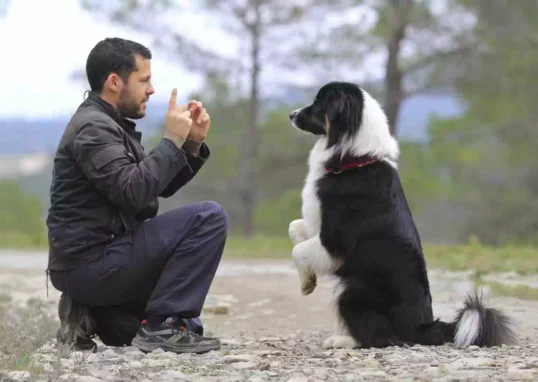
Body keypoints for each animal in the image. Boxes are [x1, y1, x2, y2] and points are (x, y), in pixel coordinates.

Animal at [286, 80, 512, 350]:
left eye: (318, 104)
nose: (291, 115)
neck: (354, 159)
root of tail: (423, 326)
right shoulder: (316, 224)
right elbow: (294, 228)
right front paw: (307, 279)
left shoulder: (334, 241)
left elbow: (298, 250)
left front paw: (306, 283)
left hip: (352, 291)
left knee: (381, 338)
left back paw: (342, 341)